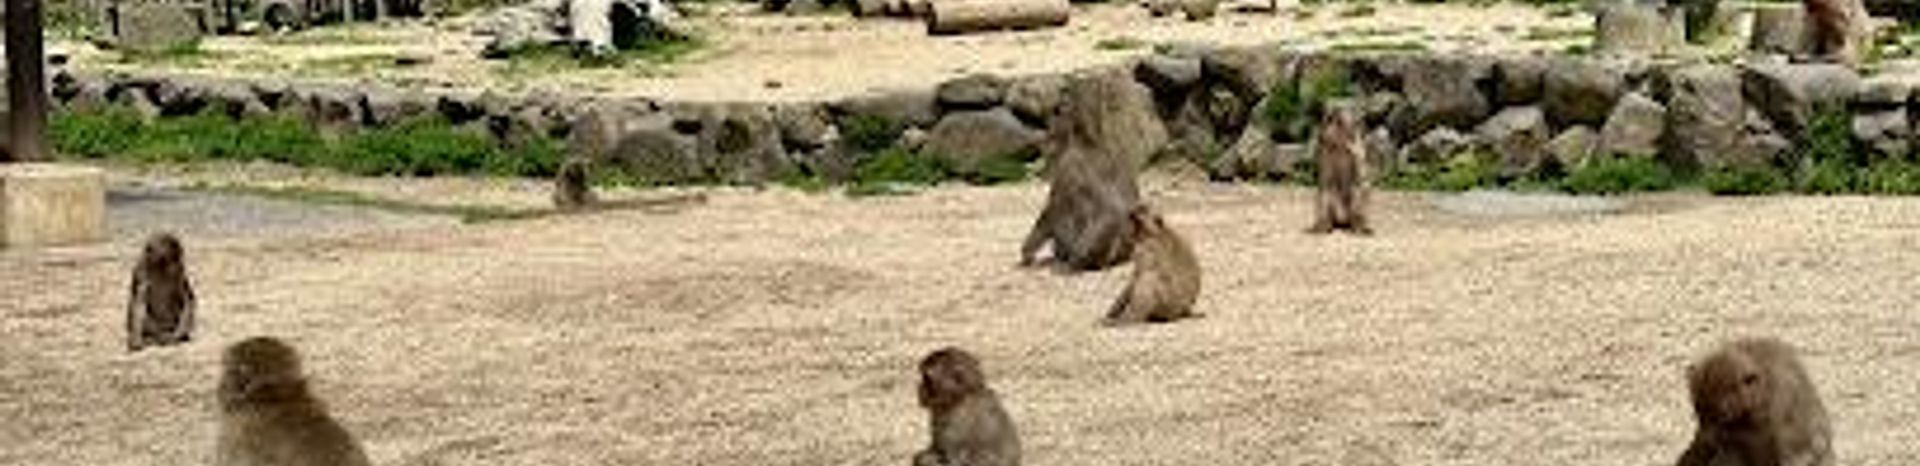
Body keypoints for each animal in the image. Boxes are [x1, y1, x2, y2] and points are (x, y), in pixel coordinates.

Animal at [1305, 99, 1373, 236]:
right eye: (1326, 117)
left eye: (1336, 120)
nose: (1319, 136)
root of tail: (1343, 219)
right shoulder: (1326, 155)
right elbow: (1326, 178)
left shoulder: (1357, 149)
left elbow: (1359, 171)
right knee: (1327, 204)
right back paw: (1322, 226)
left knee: (1357, 208)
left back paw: (1360, 228)